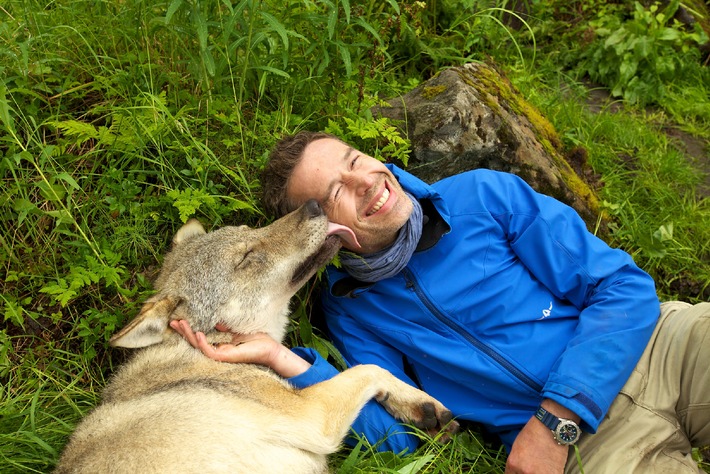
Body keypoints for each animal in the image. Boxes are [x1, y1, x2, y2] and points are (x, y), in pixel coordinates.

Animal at [52, 200, 458, 474]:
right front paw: (421, 403)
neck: (202, 352)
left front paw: (418, 408)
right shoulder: (311, 417)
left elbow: (371, 374)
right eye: (247, 257)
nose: (314, 204)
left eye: (250, 230)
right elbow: (369, 368)